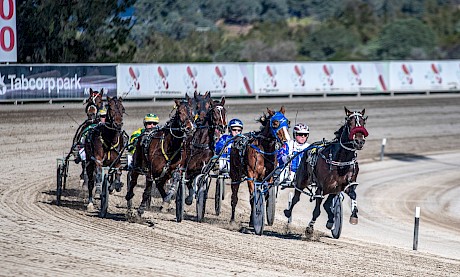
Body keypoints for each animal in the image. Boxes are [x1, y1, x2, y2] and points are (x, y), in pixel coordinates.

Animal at [284, 106, 370, 236]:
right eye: (350, 123)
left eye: (363, 122)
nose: (359, 141)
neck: (340, 160)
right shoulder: (321, 187)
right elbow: (316, 211)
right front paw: (310, 228)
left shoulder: (345, 185)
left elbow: (353, 195)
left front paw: (353, 216)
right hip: (302, 180)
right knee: (296, 198)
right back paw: (288, 213)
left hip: (333, 189)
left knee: (327, 204)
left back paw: (331, 220)